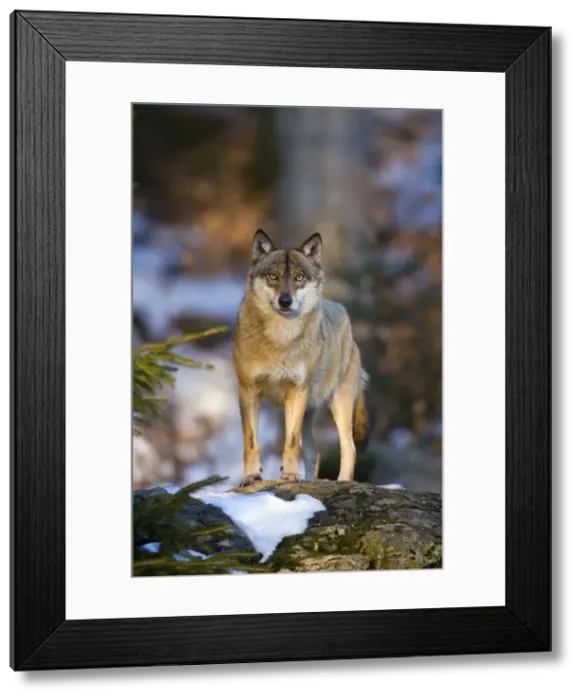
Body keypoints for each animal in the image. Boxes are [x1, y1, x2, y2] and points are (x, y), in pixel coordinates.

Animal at [232, 229, 370, 487]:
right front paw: (251, 476)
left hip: (338, 404)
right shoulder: (248, 391)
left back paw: (342, 482)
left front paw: (289, 476)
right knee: (315, 453)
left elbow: (291, 441)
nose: (285, 301)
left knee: (349, 447)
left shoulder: (296, 392)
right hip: (309, 412)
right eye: (273, 276)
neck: (281, 339)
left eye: (299, 278)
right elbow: (251, 441)